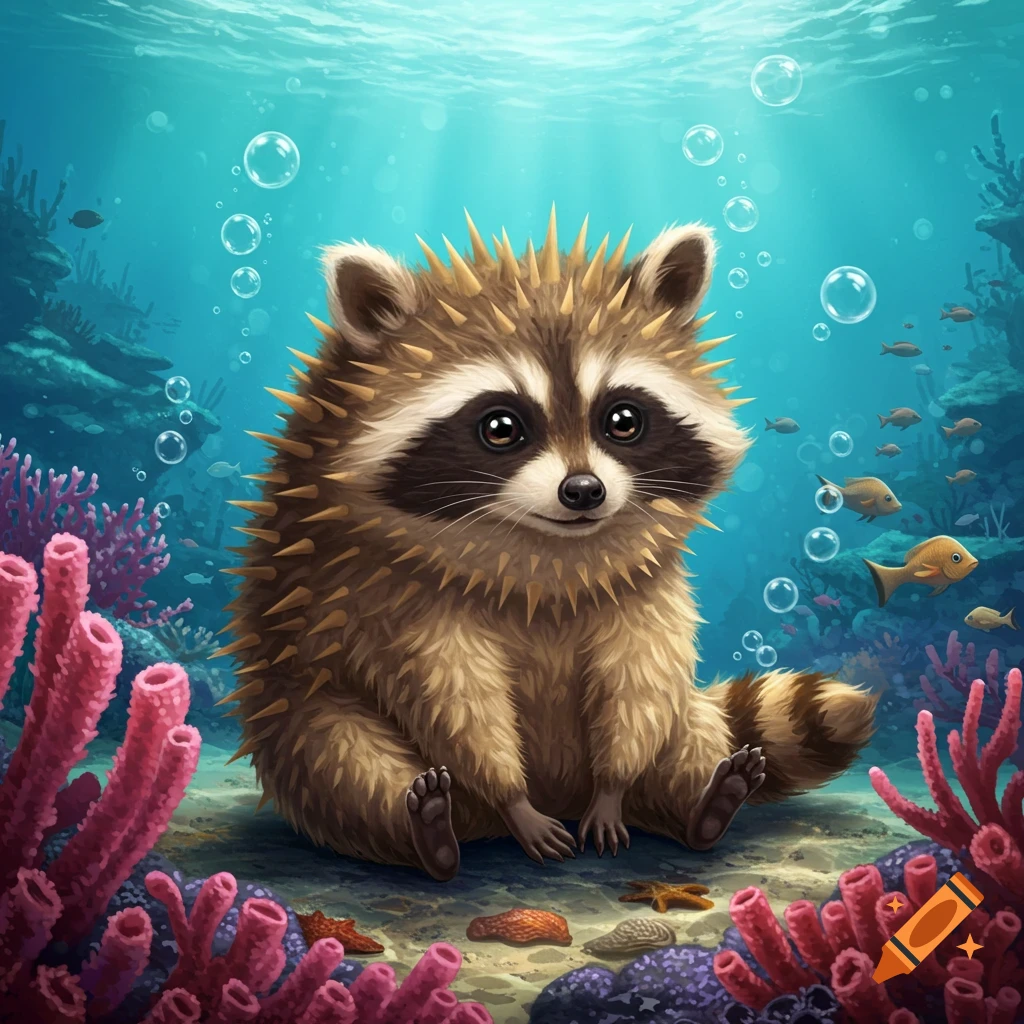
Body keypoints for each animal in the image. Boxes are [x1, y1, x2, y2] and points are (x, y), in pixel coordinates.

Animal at [216, 207, 878, 881]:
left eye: (623, 420)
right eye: (500, 427)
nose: (583, 491)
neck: (544, 548)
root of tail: (560, 793)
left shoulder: (642, 582)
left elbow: (641, 669)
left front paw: (613, 787)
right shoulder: (385, 588)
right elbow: (448, 693)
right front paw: (510, 796)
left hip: (676, 726)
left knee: (682, 722)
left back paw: (703, 808)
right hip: (299, 704)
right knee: (336, 756)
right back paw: (428, 835)